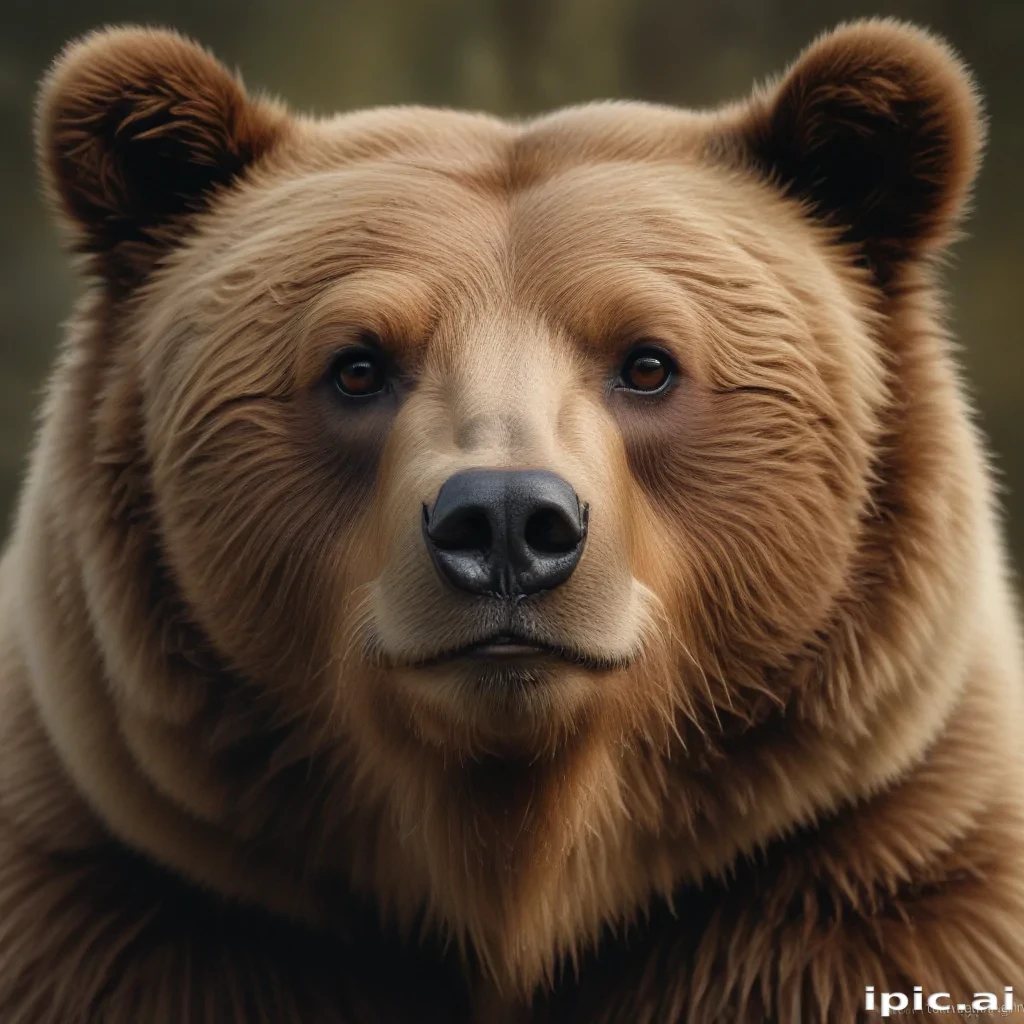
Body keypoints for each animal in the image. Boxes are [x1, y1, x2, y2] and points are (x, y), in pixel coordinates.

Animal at [0, 16, 1022, 1023]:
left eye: (648, 362)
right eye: (357, 365)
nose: (503, 520)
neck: (514, 876)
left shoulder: (865, 894)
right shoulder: (136, 915)